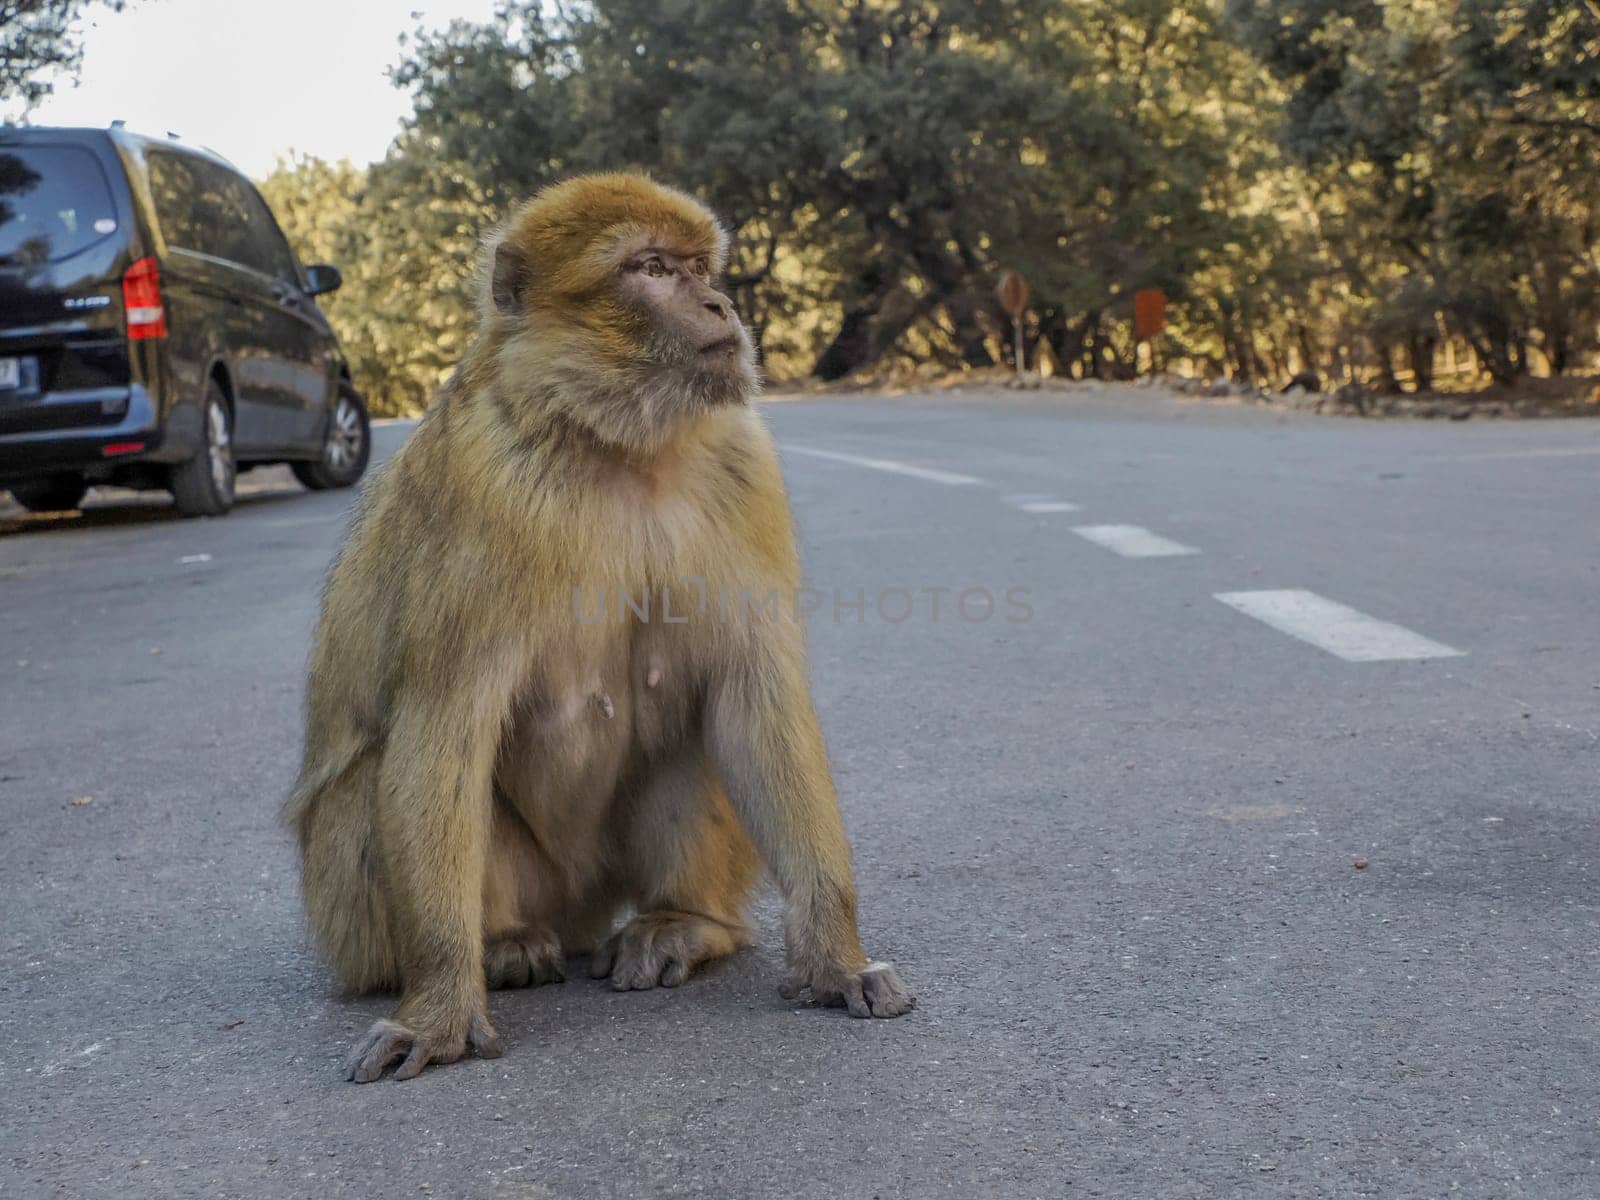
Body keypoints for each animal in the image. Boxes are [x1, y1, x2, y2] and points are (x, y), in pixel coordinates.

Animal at [284, 173, 915, 1088]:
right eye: (650, 269)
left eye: (700, 266)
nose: (721, 304)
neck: (615, 444)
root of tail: (578, 911)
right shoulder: (478, 488)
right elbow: (443, 726)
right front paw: (440, 1006)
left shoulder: (743, 463)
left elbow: (751, 694)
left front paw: (834, 955)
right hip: (371, 920)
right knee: (375, 784)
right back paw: (502, 948)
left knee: (694, 734)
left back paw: (688, 924)